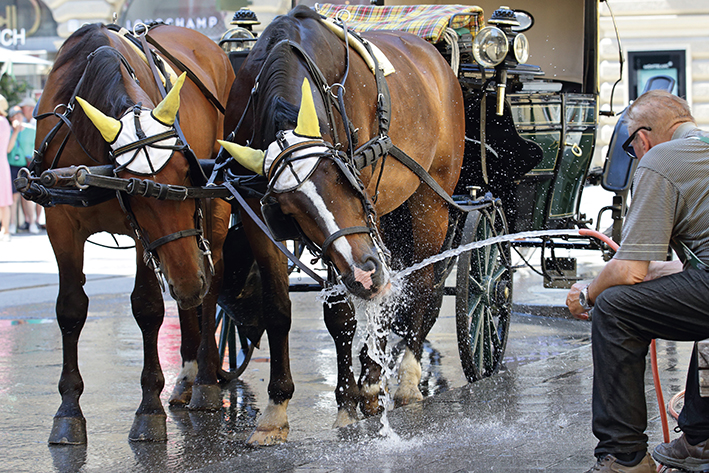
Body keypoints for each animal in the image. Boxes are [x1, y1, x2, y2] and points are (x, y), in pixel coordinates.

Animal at [26, 23, 234, 443]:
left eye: (188, 174)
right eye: (136, 194)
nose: (188, 280)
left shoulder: (146, 240)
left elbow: (148, 308)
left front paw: (149, 407)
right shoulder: (60, 224)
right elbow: (70, 309)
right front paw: (68, 409)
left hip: (216, 213)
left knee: (211, 283)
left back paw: (205, 380)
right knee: (191, 297)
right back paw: (186, 377)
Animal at [220, 5, 465, 444]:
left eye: (342, 175)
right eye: (288, 210)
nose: (365, 274)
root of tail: (434, 56)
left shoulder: (368, 209)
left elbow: (349, 313)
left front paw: (356, 396)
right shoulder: (255, 214)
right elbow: (280, 310)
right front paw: (277, 408)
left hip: (429, 200)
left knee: (419, 286)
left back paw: (400, 378)